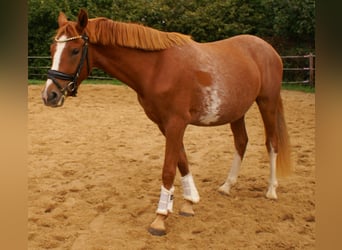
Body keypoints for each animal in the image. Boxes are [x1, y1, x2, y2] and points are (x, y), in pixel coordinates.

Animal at [41, 9, 290, 235]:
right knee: (241, 142)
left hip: (267, 103)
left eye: (74, 50)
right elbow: (182, 161)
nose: (49, 95)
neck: (157, 67)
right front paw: (189, 202)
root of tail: (268, 49)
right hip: (237, 111)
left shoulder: (176, 123)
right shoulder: (164, 125)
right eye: (53, 49)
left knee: (272, 143)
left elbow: (169, 169)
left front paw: (160, 218)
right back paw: (227, 186)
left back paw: (271, 190)